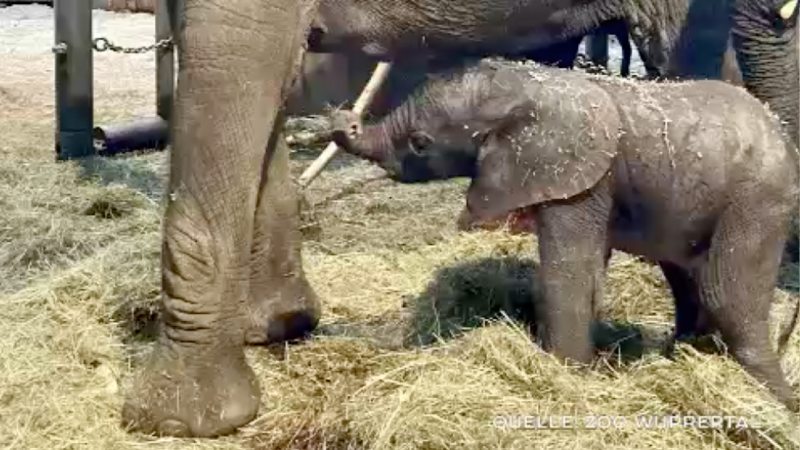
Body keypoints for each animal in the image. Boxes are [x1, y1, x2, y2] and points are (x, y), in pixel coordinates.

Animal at [328, 57, 796, 412]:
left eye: (419, 143)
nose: (343, 119)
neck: (525, 85)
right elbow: (587, 271)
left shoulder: (577, 180)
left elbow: (567, 274)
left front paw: (564, 376)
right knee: (689, 283)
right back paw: (682, 357)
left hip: (759, 198)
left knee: (725, 293)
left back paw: (777, 402)